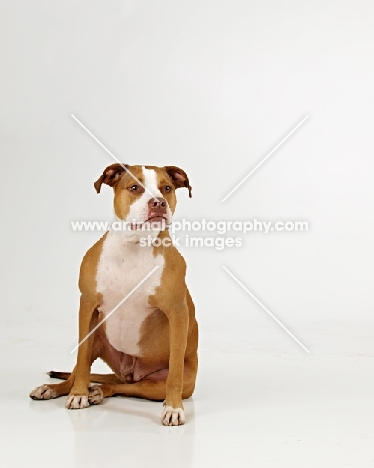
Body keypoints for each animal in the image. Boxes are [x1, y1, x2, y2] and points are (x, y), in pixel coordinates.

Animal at [29, 163, 199, 426]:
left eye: (167, 188)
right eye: (134, 187)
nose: (158, 203)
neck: (134, 245)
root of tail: (128, 374)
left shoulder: (177, 313)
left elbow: (175, 373)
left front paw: (173, 408)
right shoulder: (87, 305)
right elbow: (81, 359)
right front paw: (78, 394)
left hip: (154, 385)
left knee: (124, 388)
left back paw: (99, 392)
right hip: (98, 336)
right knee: (81, 370)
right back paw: (56, 389)